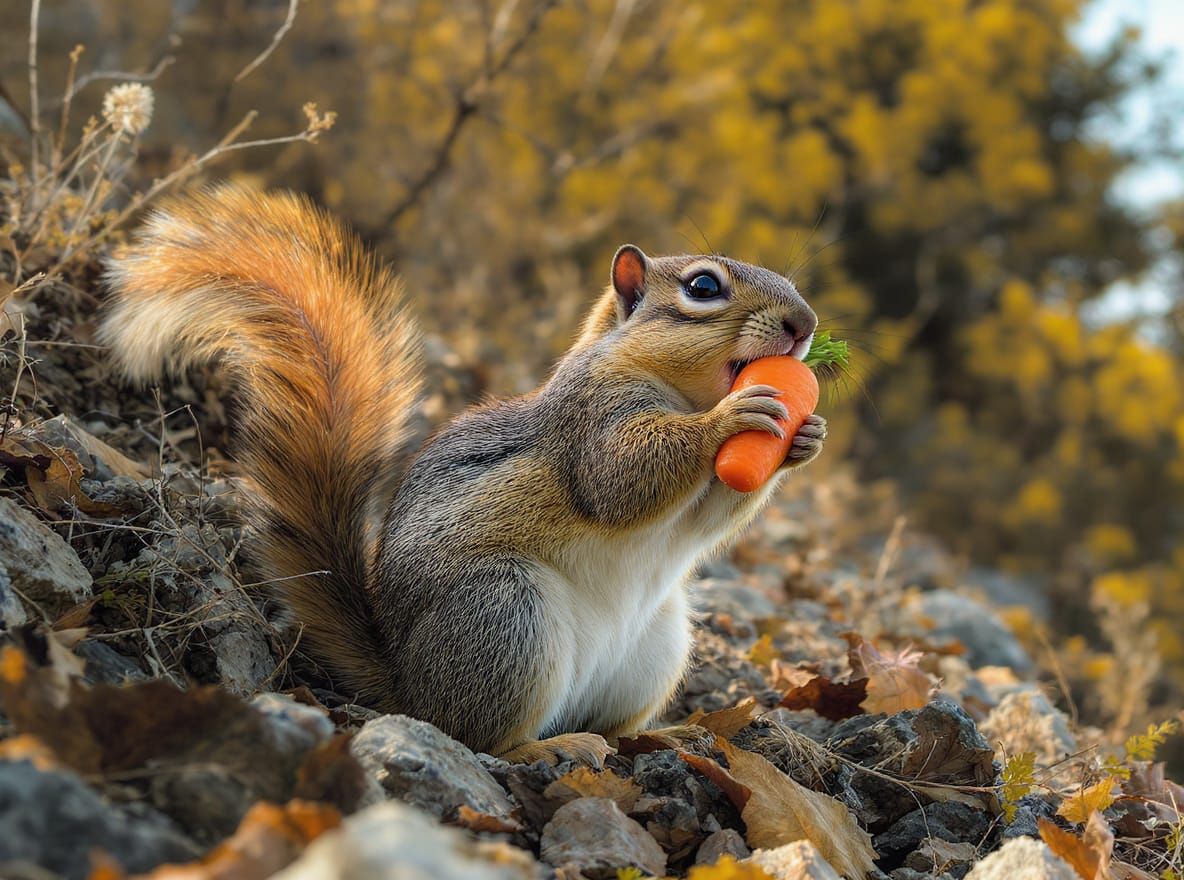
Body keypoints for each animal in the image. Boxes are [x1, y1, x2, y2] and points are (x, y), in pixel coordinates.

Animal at [100, 185, 826, 764]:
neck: (680, 391)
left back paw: (664, 735)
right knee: (480, 737)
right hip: (505, 615)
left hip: (654, 648)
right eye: (703, 287)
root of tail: (405, 684)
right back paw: (549, 746)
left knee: (610, 724)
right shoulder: (588, 423)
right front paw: (730, 419)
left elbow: (710, 514)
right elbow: (620, 479)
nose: (806, 323)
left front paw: (804, 438)